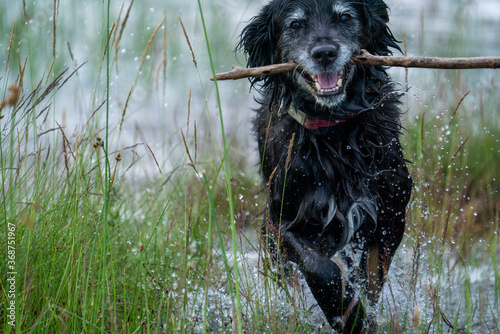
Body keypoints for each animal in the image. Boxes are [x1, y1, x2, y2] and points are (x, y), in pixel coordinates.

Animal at [240, 1, 412, 332]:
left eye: (345, 16)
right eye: (295, 24)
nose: (324, 53)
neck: (335, 134)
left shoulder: (390, 213)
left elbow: (371, 277)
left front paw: (362, 314)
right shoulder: (284, 219)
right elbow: (320, 269)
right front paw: (347, 315)